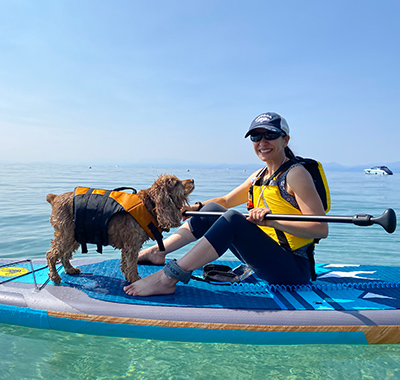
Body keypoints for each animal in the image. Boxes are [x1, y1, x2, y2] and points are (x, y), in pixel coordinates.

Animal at [46, 174, 195, 284]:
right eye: (175, 183)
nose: (192, 180)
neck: (150, 204)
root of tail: (55, 198)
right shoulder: (133, 244)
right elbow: (132, 264)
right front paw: (135, 279)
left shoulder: (128, 244)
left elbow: (125, 262)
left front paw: (129, 277)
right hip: (67, 234)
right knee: (51, 254)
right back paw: (54, 276)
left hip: (75, 235)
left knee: (64, 254)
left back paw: (70, 269)